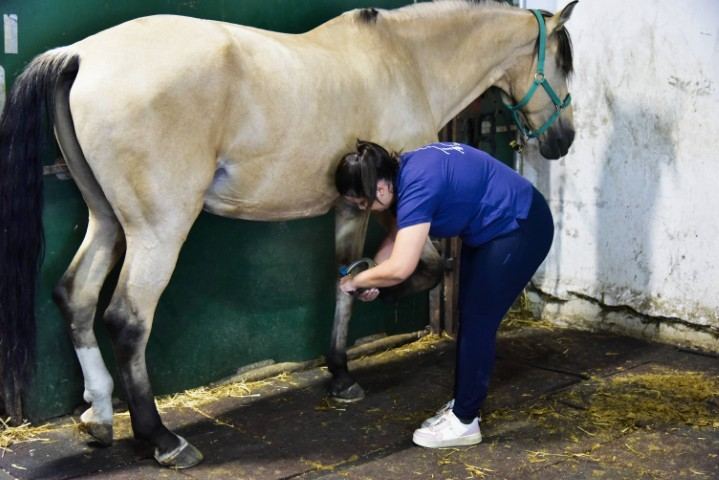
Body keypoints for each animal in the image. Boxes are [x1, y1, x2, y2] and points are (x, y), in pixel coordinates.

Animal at [0, 0, 577, 468]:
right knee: (126, 319)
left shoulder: (350, 206)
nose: (564, 140)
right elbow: (426, 268)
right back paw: (163, 440)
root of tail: (79, 54)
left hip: (107, 219)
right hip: (157, 230)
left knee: (75, 295)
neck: (403, 62)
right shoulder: (396, 209)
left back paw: (98, 416)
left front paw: (341, 374)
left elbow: (342, 280)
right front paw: (381, 292)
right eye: (565, 63)